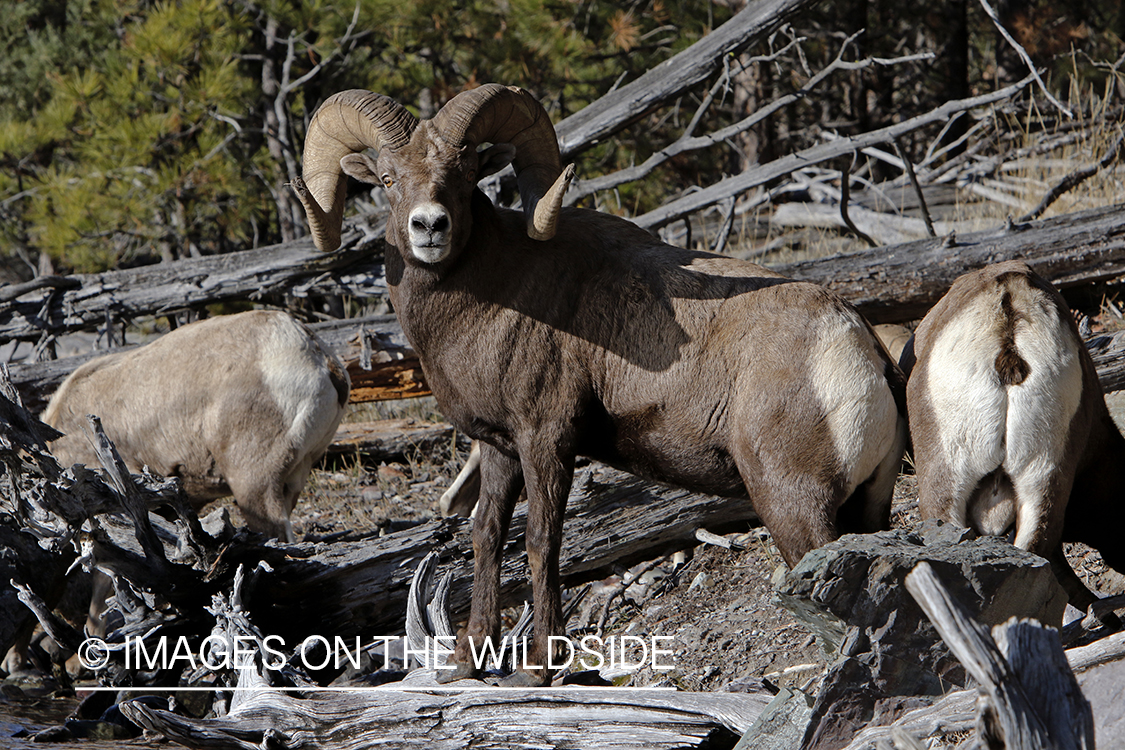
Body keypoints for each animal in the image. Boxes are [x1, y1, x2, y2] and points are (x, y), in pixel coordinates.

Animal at [294, 83, 909, 688]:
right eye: (388, 177)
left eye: (466, 174)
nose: (429, 227)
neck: (488, 296)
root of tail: (858, 347)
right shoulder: (498, 447)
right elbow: (486, 536)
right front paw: (467, 662)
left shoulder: (546, 440)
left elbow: (542, 541)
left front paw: (538, 670)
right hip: (865, 508)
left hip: (791, 504)